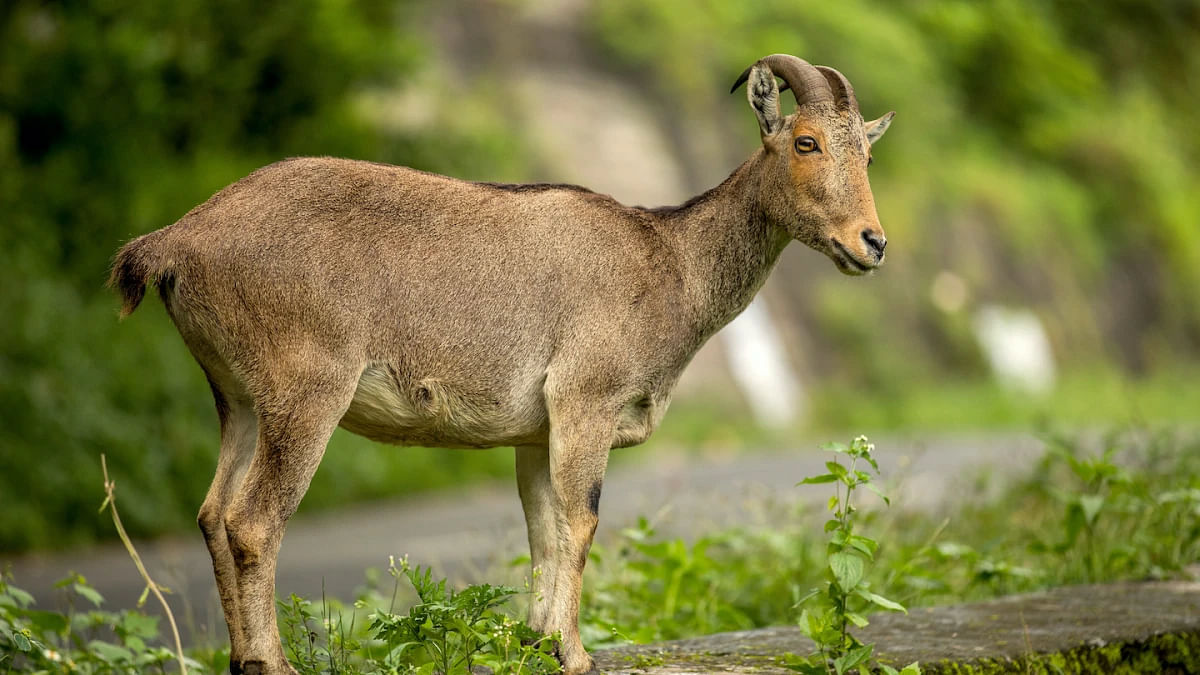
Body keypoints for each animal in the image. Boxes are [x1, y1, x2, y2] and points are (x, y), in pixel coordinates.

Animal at [110, 53, 892, 672]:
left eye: (867, 154)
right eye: (806, 141)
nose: (872, 242)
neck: (669, 261)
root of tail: (177, 240)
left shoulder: (535, 432)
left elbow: (543, 528)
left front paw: (538, 642)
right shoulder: (585, 402)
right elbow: (581, 521)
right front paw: (575, 653)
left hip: (239, 398)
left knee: (213, 513)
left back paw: (242, 656)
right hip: (304, 393)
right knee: (252, 521)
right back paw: (271, 662)